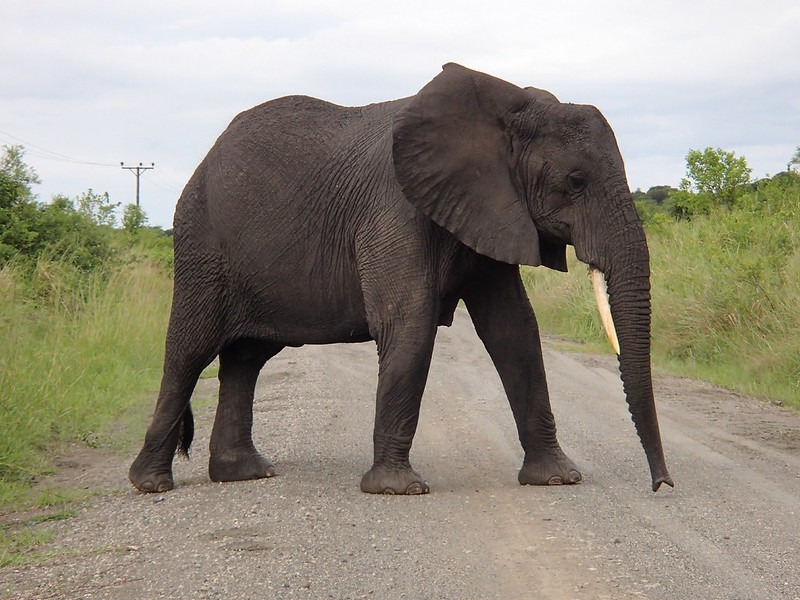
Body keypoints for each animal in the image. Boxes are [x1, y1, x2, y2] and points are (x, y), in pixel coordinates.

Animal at [129, 63, 673, 495]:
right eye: (575, 181)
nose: (662, 485)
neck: (506, 108)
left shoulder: (492, 208)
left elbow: (514, 330)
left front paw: (557, 479)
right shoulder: (395, 208)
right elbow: (408, 321)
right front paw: (397, 489)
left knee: (245, 359)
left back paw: (245, 474)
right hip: (202, 243)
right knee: (189, 350)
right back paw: (152, 484)